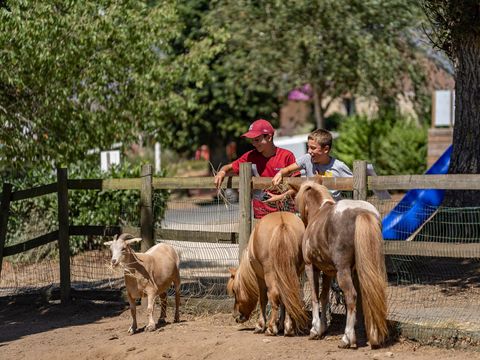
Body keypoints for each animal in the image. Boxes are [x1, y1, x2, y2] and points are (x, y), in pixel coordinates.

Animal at [294, 180, 388, 348]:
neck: (318, 211)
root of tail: (361, 212)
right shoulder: (327, 271)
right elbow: (324, 297)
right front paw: (322, 328)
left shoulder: (311, 266)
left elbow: (315, 297)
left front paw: (315, 329)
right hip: (365, 269)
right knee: (369, 295)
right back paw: (373, 336)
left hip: (343, 271)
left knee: (351, 296)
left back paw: (347, 338)